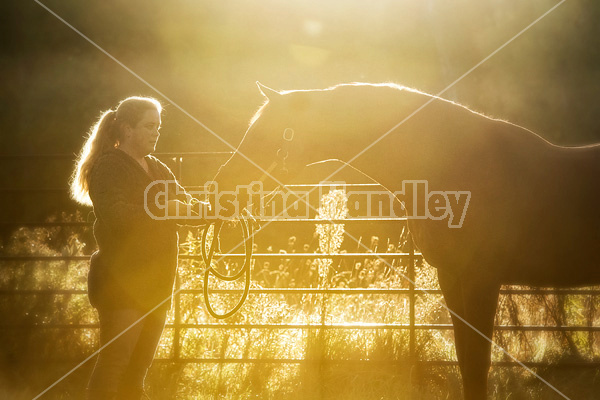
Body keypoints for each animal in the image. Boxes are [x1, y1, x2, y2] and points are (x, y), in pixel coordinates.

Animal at [212, 82, 600, 400]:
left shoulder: (481, 281)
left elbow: (478, 364)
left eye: (267, 133)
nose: (222, 186)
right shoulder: (453, 277)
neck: (457, 166)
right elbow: (466, 362)